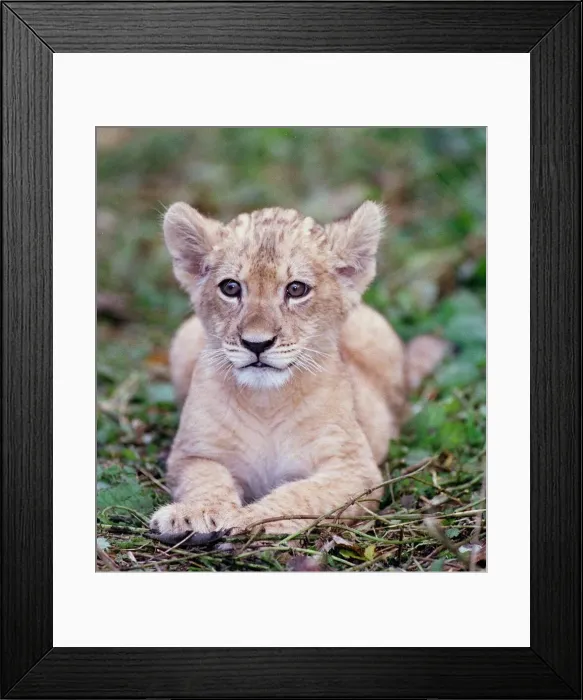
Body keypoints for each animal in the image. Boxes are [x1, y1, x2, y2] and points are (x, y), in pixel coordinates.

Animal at [149, 201, 448, 536]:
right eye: (230, 287)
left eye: (295, 289)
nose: (256, 343)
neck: (265, 401)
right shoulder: (192, 454)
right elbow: (205, 480)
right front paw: (191, 514)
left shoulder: (354, 470)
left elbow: (298, 496)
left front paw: (248, 518)